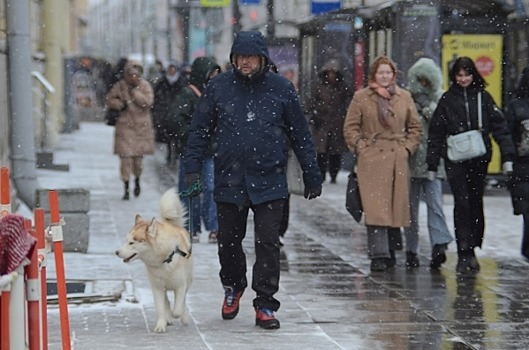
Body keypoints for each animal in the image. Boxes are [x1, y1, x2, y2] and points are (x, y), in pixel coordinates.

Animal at [114, 187, 193, 332]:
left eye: (132, 243)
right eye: (126, 241)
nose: (116, 252)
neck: (165, 260)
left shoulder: (181, 285)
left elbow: (178, 308)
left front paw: (177, 315)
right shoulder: (157, 287)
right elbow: (161, 308)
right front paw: (162, 324)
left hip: (188, 280)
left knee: (181, 301)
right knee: (167, 301)